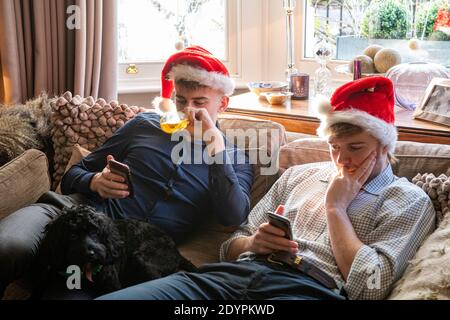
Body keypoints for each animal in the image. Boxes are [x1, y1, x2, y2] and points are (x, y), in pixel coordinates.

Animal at [30, 205, 198, 298]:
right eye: (72, 235)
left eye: (95, 232)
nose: (90, 254)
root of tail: (176, 251)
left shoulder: (112, 285)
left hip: (142, 259)